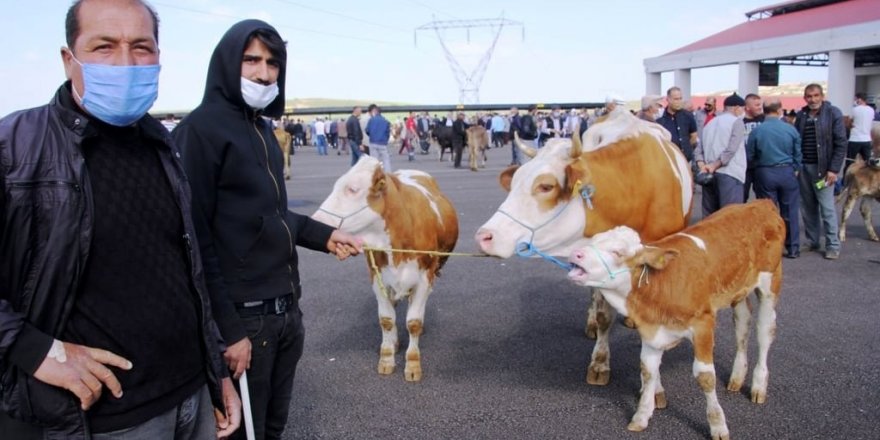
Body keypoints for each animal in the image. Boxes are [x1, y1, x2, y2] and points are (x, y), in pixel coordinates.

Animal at [312, 156, 460, 382]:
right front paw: (387, 357)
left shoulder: (424, 278)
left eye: (352, 189)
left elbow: (414, 322)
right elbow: (387, 319)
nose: (315, 221)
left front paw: (413, 363)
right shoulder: (377, 276)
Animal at [478, 110, 692, 384]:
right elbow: (604, 316)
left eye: (545, 186)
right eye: (514, 182)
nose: (484, 236)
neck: (633, 187)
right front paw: (600, 363)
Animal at [568, 201, 788, 438]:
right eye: (591, 242)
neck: (661, 284)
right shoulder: (652, 331)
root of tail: (761, 204)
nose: (575, 254)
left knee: (764, 333)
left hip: (771, 283)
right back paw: (737, 377)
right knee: (742, 324)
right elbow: (648, 371)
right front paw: (641, 416)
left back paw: (758, 386)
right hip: (738, 291)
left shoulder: (703, 325)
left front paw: (718, 425)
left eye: (617, 252)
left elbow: (705, 377)